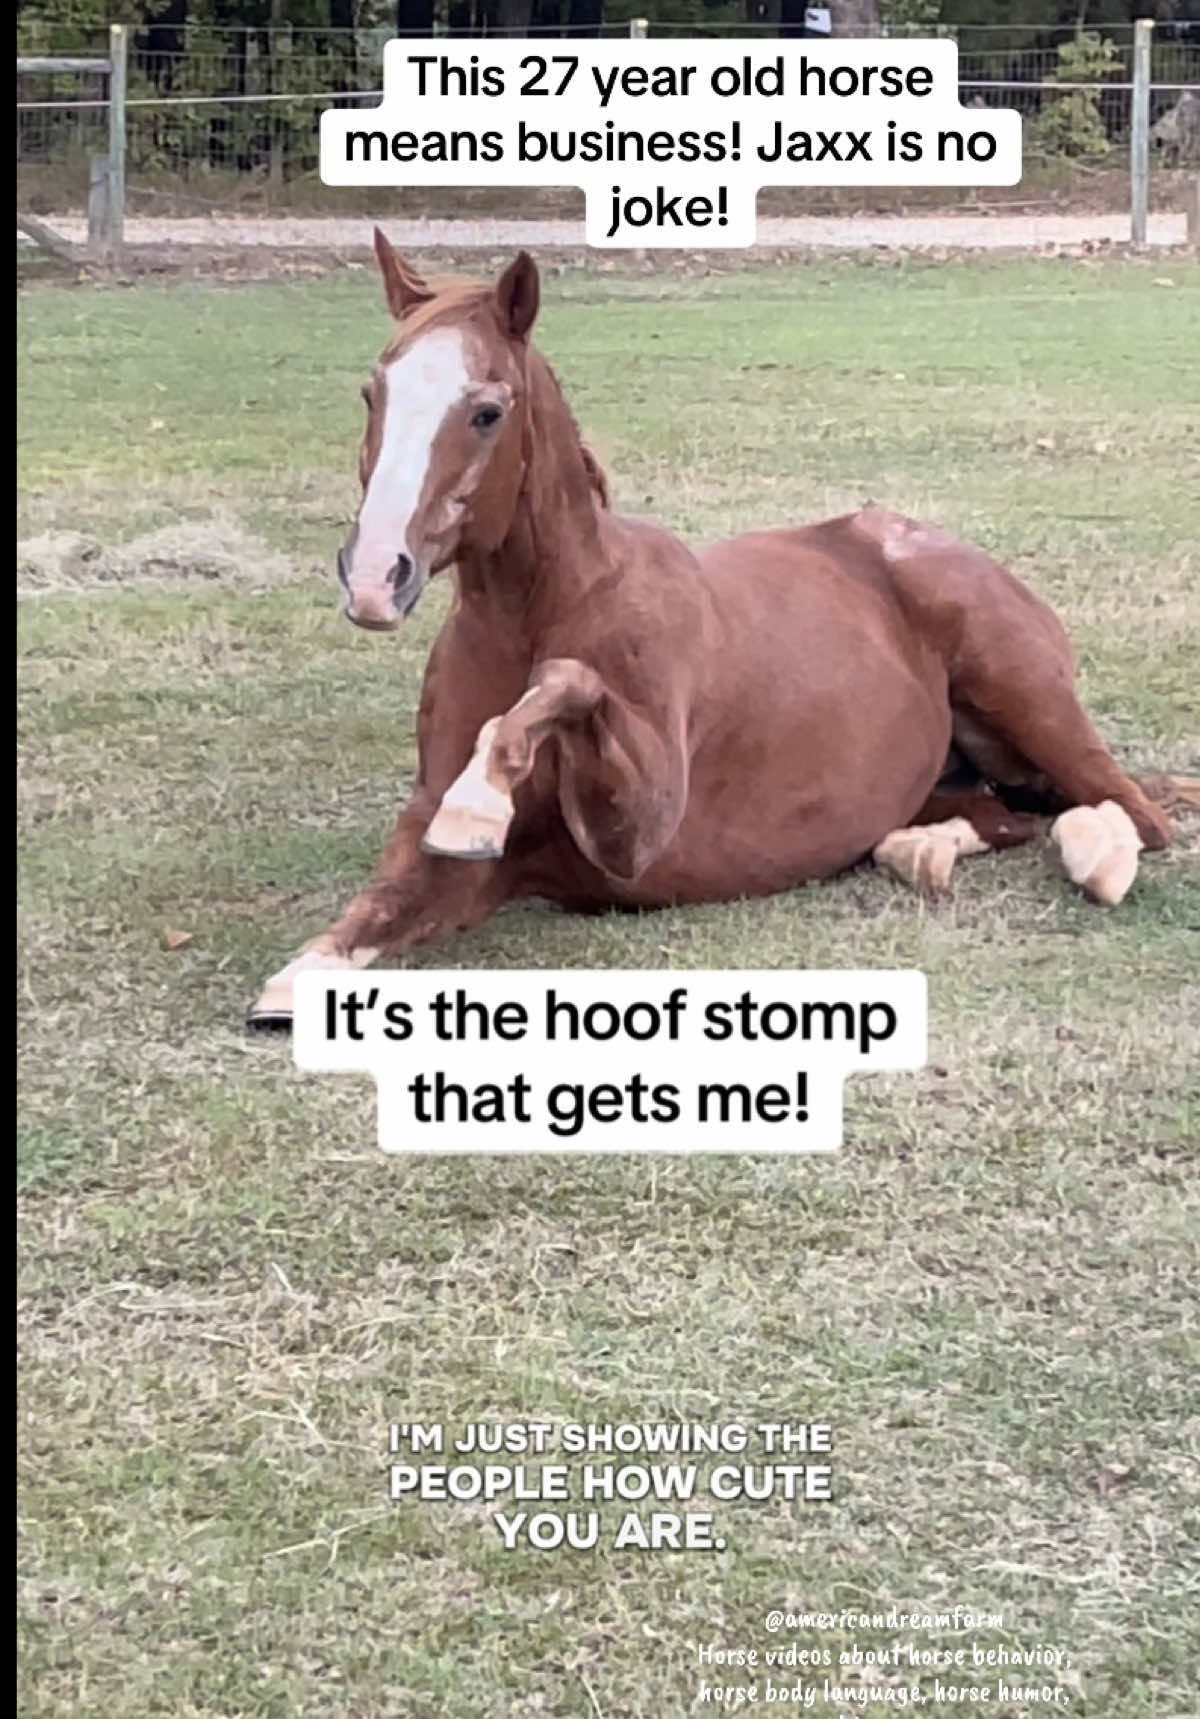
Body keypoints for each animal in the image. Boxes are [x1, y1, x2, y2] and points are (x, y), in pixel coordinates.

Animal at [247, 234, 1182, 1029]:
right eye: (373, 393)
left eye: (486, 411)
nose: (376, 578)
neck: (542, 609)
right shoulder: (470, 864)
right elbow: (359, 920)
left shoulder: (634, 826)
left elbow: (567, 683)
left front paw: (479, 797)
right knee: (1010, 814)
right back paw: (919, 849)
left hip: (1025, 697)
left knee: (1132, 814)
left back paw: (1091, 855)